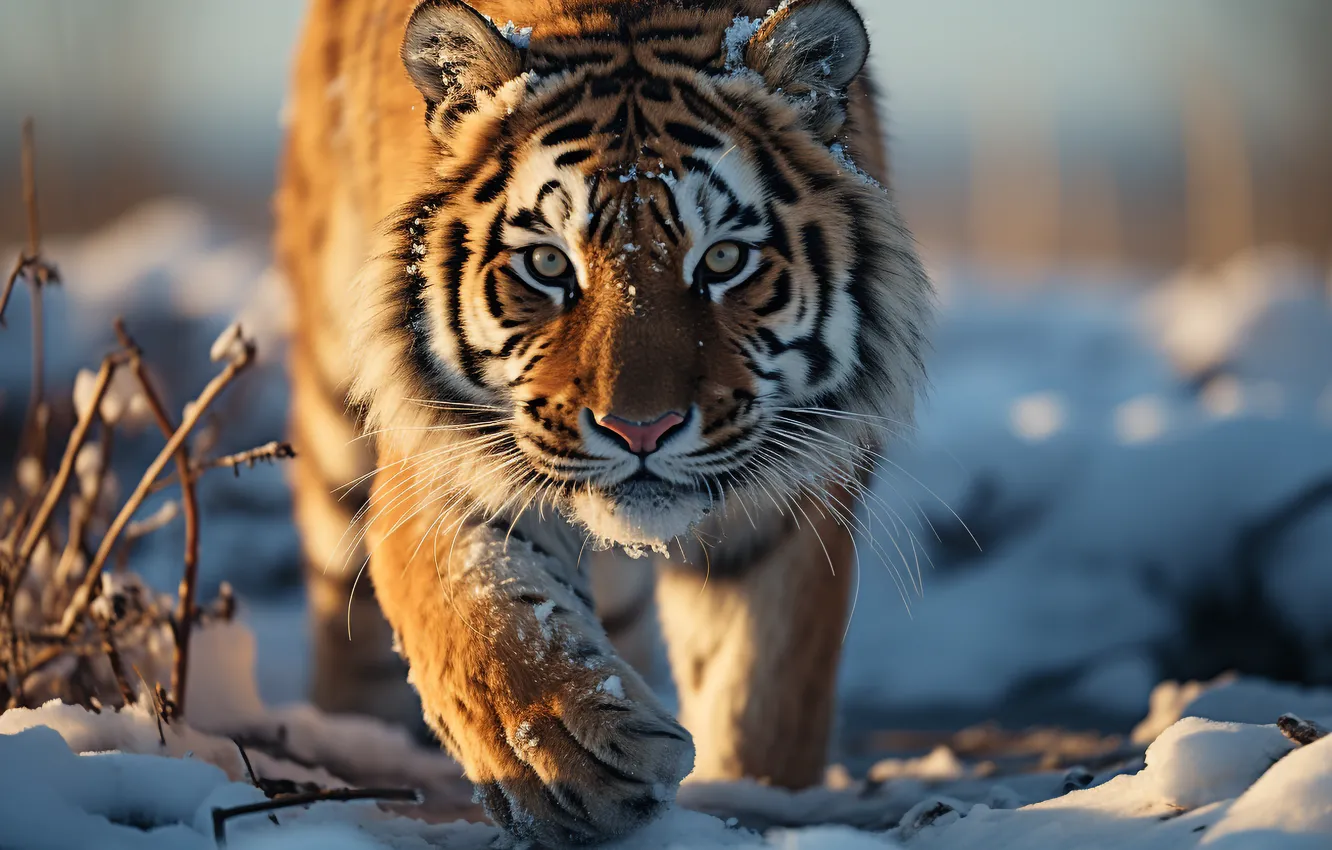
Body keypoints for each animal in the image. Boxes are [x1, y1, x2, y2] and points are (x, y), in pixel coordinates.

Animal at [275, 0, 932, 843]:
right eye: (550, 265)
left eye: (723, 261)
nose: (640, 430)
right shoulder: (443, 463)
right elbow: (483, 625)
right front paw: (570, 762)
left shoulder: (790, 504)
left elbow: (764, 694)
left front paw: (750, 797)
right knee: (343, 610)